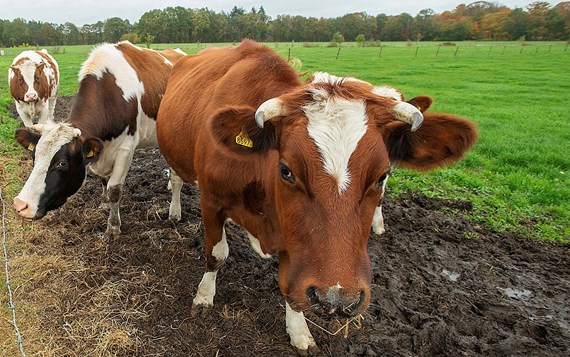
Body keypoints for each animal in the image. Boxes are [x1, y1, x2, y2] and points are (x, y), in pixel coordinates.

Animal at [12, 41, 184, 236]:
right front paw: (103, 204)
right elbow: (103, 179)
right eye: (34, 157)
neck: (110, 93)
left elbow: (114, 189)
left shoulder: (126, 149)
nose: (20, 205)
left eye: (62, 163)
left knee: (177, 177)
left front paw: (113, 227)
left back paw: (174, 211)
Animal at [154, 40, 474, 352]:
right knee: (177, 180)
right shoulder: (212, 202)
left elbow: (290, 284)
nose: (337, 299)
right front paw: (203, 297)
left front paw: (298, 331)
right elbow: (216, 255)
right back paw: (174, 211)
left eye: (382, 176)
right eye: (286, 171)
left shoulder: (293, 233)